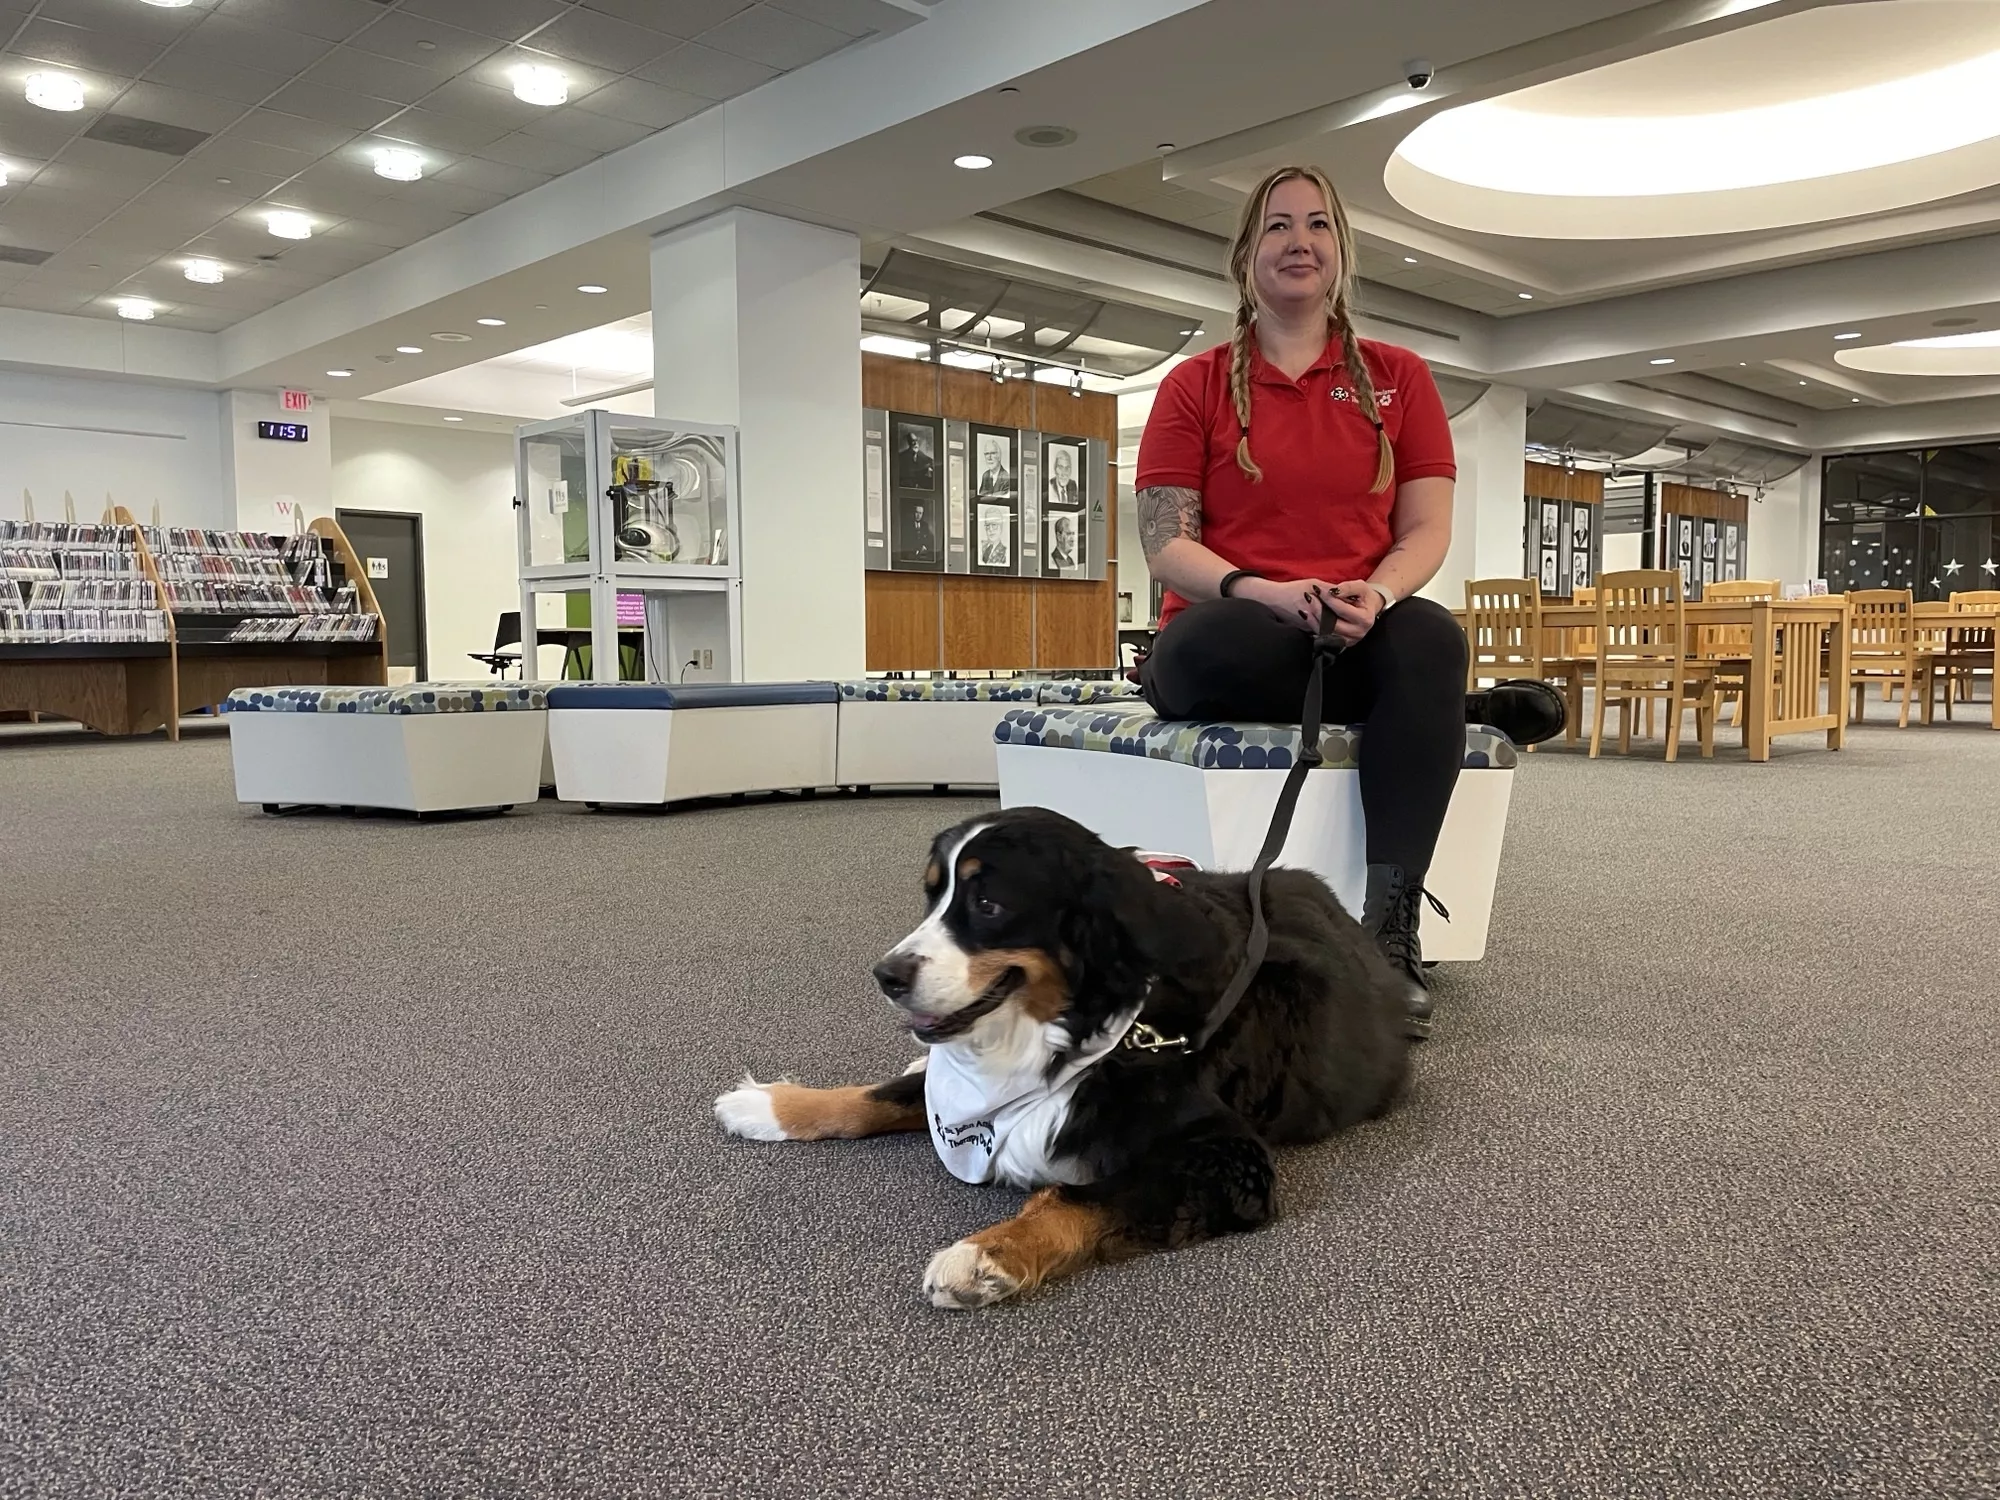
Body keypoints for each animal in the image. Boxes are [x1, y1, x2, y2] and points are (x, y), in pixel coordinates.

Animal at [716, 804, 1408, 1312]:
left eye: (988, 905)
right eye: (932, 898)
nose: (886, 975)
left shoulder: (1227, 1156)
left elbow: (1082, 1195)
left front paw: (987, 1255)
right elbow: (874, 1096)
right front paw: (772, 1106)